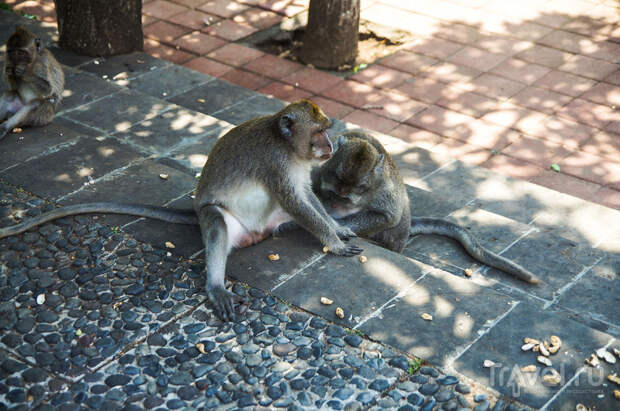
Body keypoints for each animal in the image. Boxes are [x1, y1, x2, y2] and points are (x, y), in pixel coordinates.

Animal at [0, 100, 364, 322]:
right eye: (319, 131)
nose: (330, 145)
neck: (287, 145)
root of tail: (256, 233)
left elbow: (306, 198)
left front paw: (337, 230)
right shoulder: (275, 162)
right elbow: (294, 201)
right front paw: (335, 242)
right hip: (217, 218)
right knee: (216, 223)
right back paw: (215, 285)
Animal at [308, 133, 540, 286]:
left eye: (351, 192)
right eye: (335, 188)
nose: (337, 202)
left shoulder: (384, 189)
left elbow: (389, 216)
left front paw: (339, 226)